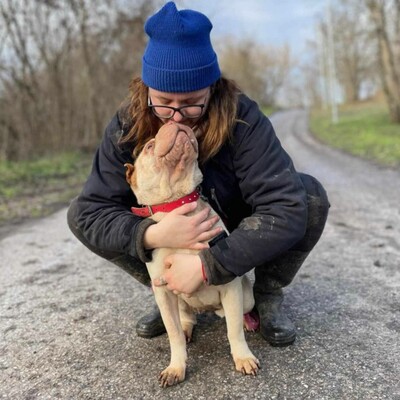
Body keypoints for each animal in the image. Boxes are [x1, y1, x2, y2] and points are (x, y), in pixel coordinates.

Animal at [124, 122, 260, 388]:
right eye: (149, 146)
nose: (174, 122)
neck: (177, 204)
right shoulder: (163, 292)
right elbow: (173, 333)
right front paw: (176, 366)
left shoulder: (230, 286)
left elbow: (233, 329)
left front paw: (243, 357)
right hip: (177, 299)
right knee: (186, 319)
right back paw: (188, 326)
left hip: (246, 296)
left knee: (239, 313)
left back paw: (248, 322)